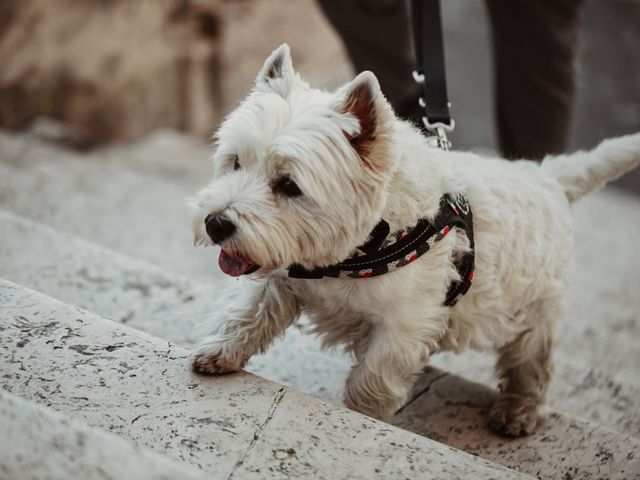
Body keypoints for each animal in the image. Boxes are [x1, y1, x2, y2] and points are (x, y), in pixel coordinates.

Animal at [190, 44, 640, 436]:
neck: (365, 243)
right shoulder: (283, 279)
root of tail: (550, 177)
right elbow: (246, 315)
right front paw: (218, 353)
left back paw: (517, 412)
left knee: (531, 362)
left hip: (535, 310)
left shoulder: (403, 324)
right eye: (236, 161)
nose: (216, 223)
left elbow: (371, 380)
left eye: (289, 185)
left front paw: (362, 417)